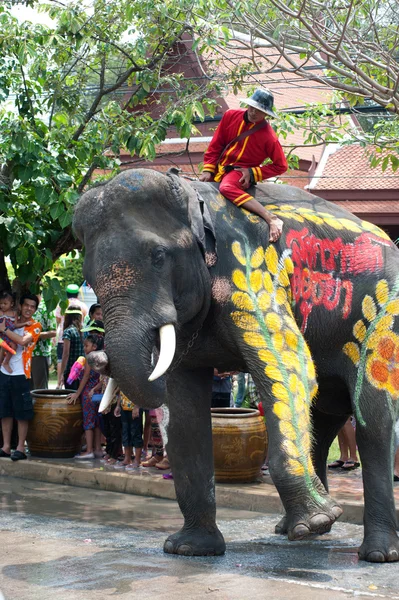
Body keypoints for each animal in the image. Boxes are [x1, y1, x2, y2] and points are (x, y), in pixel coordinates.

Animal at [74, 165, 399, 564]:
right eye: (88, 274)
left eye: (158, 255)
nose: (97, 358)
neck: (192, 196)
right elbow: (183, 409)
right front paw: (189, 549)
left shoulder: (250, 274)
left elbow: (291, 365)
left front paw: (320, 520)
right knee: (324, 421)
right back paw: (299, 529)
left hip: (384, 323)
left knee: (373, 420)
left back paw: (373, 552)